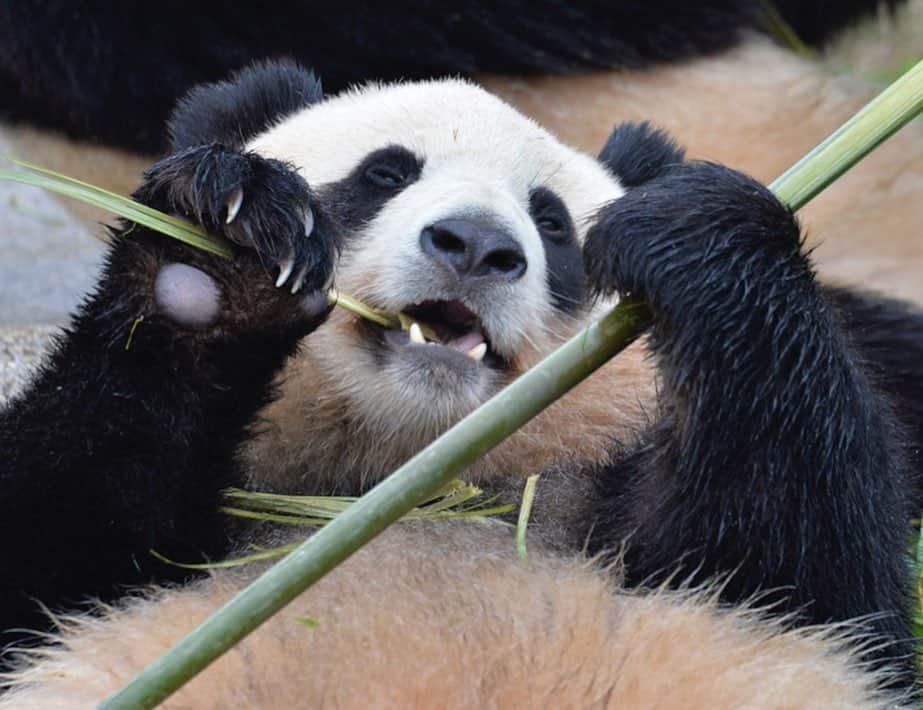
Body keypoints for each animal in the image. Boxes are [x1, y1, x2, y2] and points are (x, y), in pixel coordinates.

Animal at [1, 59, 923, 708]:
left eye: (552, 222)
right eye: (383, 174)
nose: (476, 245)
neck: (402, 470)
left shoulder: (639, 514)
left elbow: (803, 573)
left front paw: (695, 227)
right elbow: (60, 519)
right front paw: (220, 250)